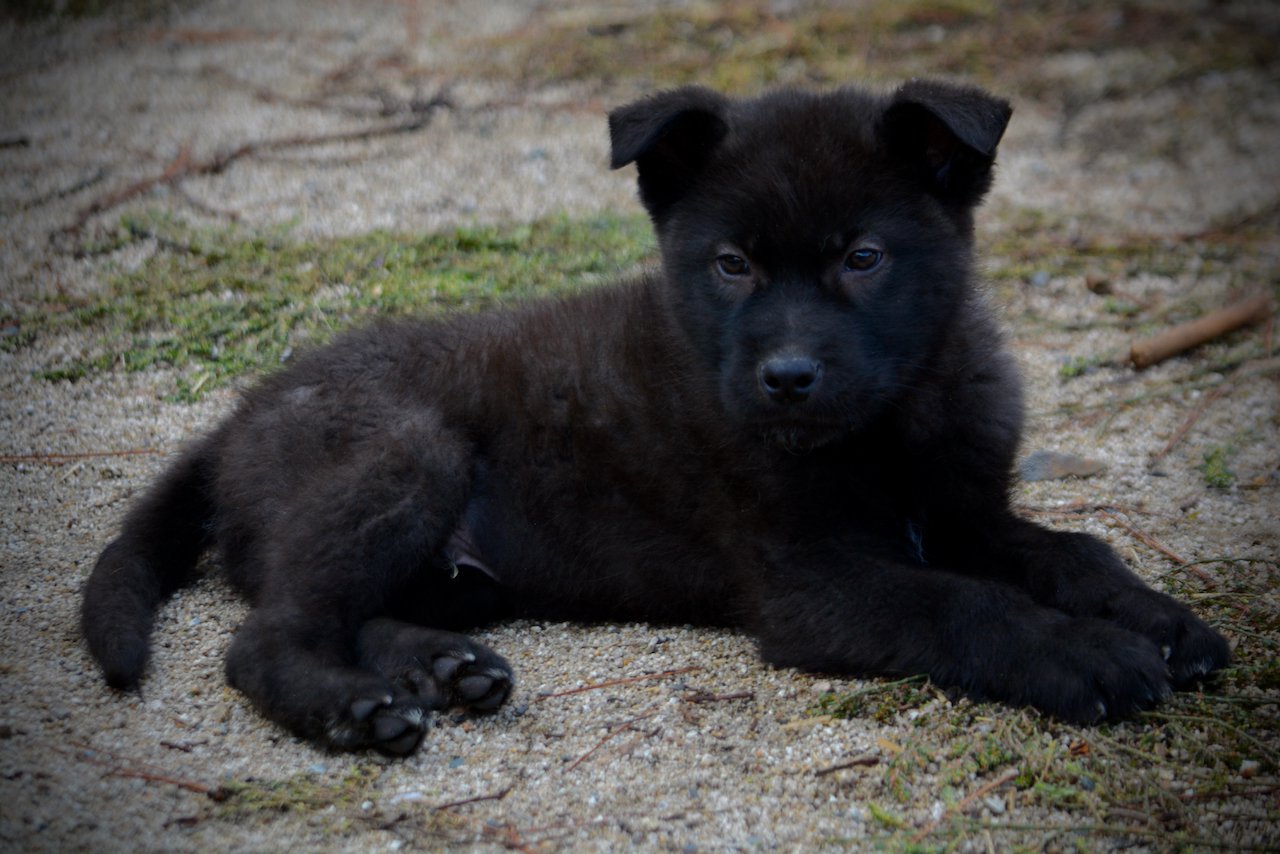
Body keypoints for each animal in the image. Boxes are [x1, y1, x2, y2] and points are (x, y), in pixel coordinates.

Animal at [82, 81, 1228, 752]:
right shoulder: (811, 582)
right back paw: (354, 707)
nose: (787, 377)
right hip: (407, 452)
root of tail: (233, 420)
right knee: (264, 636)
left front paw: (1158, 619)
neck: (890, 422)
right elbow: (965, 603)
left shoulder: (963, 511)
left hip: (448, 561)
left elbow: (1069, 548)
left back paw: (443, 668)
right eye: (731, 264)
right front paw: (1085, 656)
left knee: (340, 610)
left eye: (863, 257)